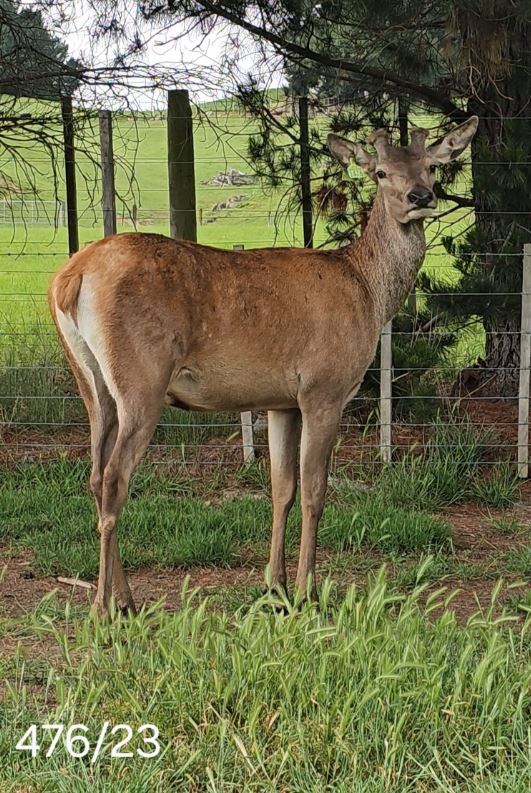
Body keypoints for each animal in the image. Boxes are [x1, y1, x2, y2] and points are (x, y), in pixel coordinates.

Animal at [48, 115, 478, 617]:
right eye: (380, 172)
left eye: (432, 166)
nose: (420, 197)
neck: (369, 294)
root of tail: (70, 278)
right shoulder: (324, 388)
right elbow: (314, 491)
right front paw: (309, 590)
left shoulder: (280, 400)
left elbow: (281, 488)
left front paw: (276, 586)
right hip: (141, 378)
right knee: (116, 477)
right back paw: (104, 606)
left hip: (91, 381)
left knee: (95, 474)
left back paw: (125, 598)